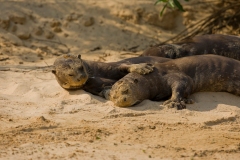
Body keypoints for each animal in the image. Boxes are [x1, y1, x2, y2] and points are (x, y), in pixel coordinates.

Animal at [109, 54, 240, 109]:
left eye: (126, 90)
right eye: (114, 97)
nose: (122, 101)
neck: (154, 78)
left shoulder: (171, 74)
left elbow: (181, 84)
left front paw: (174, 102)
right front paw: (185, 100)